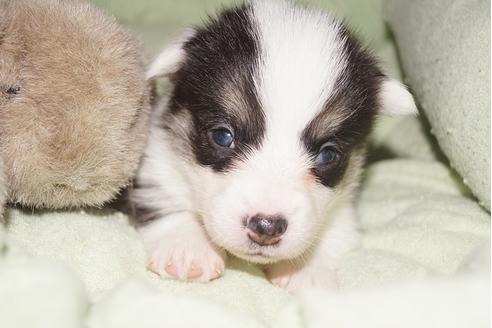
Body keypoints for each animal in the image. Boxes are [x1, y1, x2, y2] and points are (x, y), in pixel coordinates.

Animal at [131, 0, 416, 292]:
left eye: (327, 154)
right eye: (223, 136)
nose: (266, 226)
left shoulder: (344, 203)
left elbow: (338, 231)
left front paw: (307, 268)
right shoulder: (156, 164)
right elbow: (164, 199)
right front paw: (186, 246)